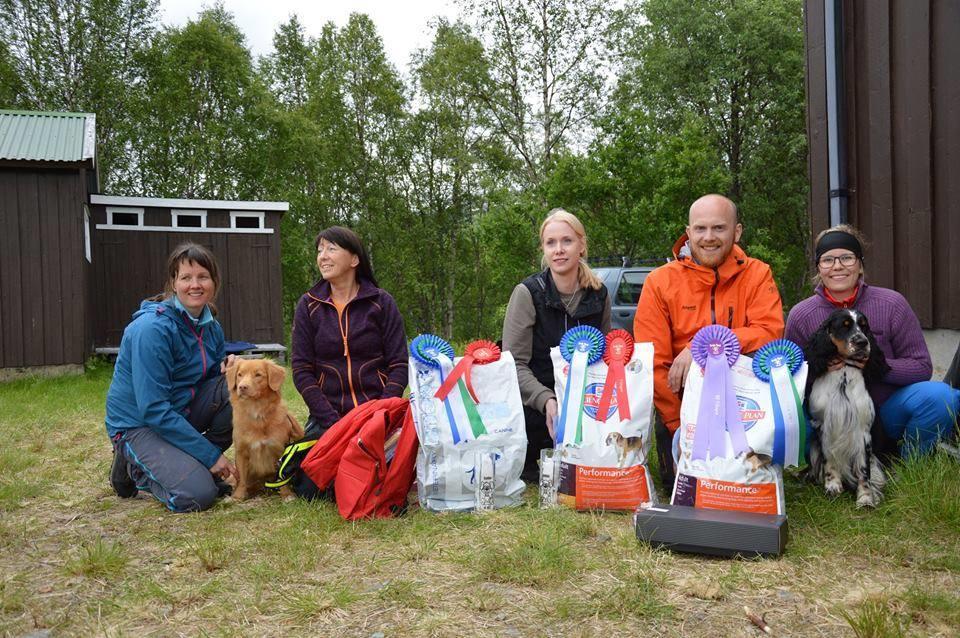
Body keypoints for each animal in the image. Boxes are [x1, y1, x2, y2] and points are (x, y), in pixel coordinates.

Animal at [227, 360, 302, 500]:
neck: (257, 413)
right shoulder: (241, 451)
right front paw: (238, 496)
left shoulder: (280, 450)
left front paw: (286, 494)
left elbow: (281, 477)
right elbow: (242, 478)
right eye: (239, 375)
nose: (242, 387)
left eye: (258, 375)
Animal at [808, 310, 888, 510]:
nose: (862, 342)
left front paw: (866, 498)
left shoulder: (863, 433)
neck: (843, 374)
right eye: (844, 326)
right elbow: (829, 460)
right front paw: (832, 486)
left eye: (864, 326)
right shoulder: (823, 427)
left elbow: (864, 471)